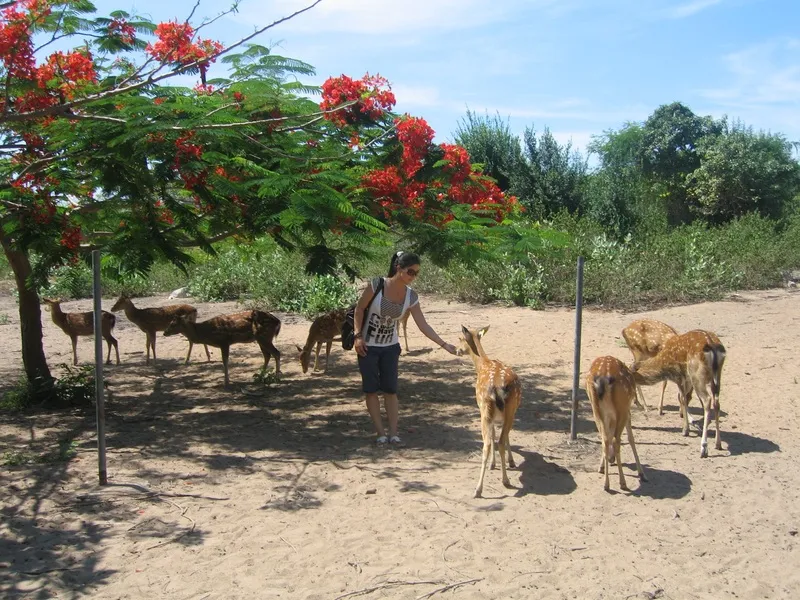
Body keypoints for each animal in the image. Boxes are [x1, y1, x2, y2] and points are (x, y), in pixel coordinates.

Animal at [460, 326, 520, 500]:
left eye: (460, 338)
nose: (456, 350)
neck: (483, 365)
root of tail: (496, 389)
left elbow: (497, 436)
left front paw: (501, 463)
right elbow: (501, 436)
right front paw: (509, 461)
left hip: (485, 411)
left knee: (488, 443)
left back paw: (480, 489)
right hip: (505, 410)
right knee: (497, 441)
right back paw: (502, 481)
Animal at [584, 356, 648, 492]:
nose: (610, 459)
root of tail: (603, 379)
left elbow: (607, 436)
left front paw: (602, 466)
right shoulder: (627, 412)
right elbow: (630, 438)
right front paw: (642, 473)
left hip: (595, 408)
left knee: (605, 439)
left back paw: (606, 483)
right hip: (621, 407)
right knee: (616, 440)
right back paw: (622, 483)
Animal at [636, 330, 728, 458]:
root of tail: (712, 345)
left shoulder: (679, 375)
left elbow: (682, 398)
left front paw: (685, 430)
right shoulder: (685, 378)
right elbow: (683, 397)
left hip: (697, 374)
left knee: (707, 400)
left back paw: (703, 448)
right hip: (717, 376)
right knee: (717, 402)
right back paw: (718, 443)